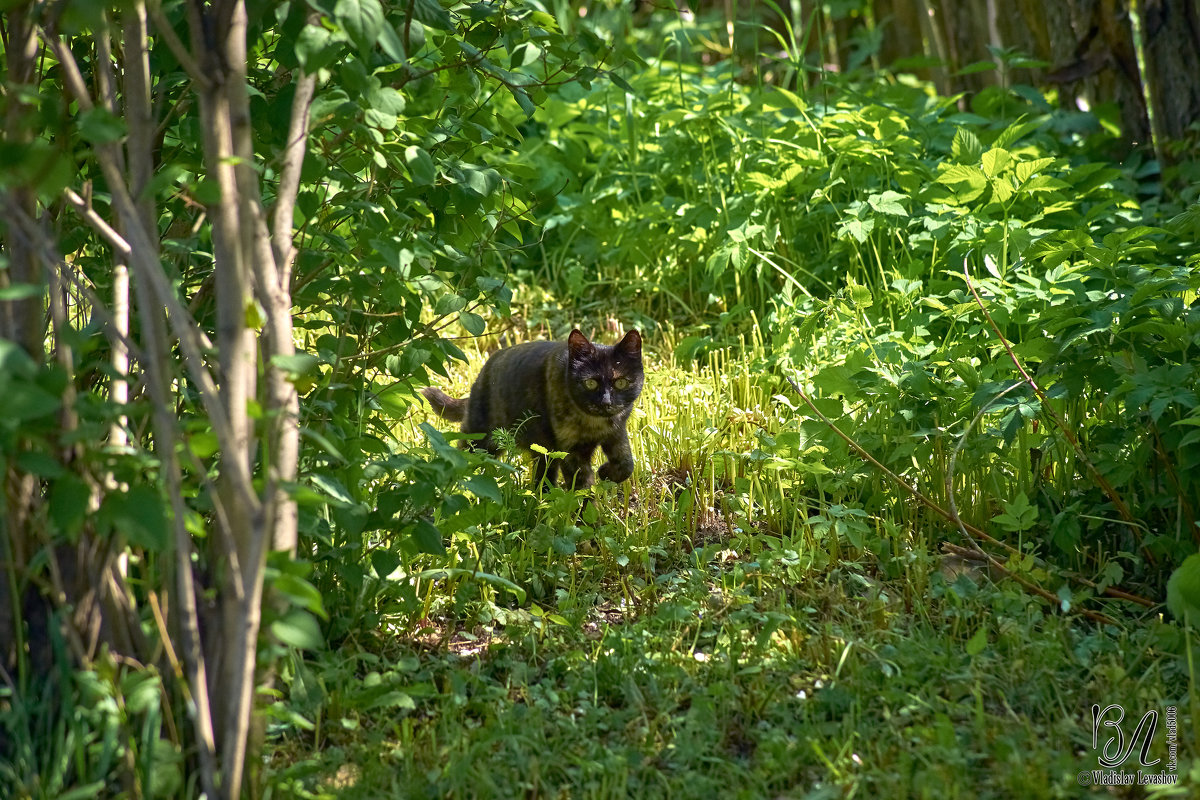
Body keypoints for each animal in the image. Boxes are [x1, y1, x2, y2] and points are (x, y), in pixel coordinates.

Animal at [424, 326, 648, 489]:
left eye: (621, 382)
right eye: (590, 383)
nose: (606, 402)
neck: (596, 423)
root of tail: (480, 377)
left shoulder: (617, 432)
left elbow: (626, 463)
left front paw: (606, 473)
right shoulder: (571, 451)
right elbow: (582, 487)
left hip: (543, 450)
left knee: (543, 478)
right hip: (481, 440)